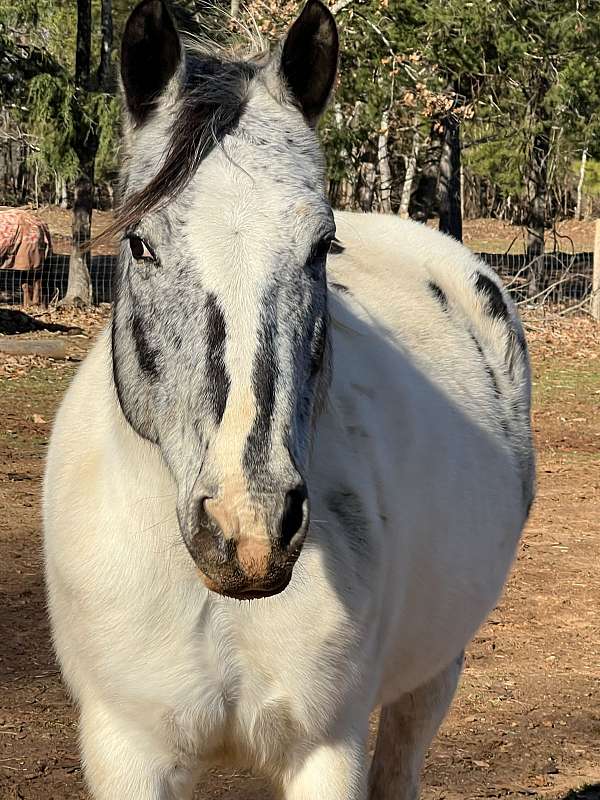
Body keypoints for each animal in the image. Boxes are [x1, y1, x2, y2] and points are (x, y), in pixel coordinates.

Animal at [43, 1, 536, 800]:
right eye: (141, 244)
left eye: (320, 245)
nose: (249, 528)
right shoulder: (128, 750)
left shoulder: (325, 748)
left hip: (435, 671)